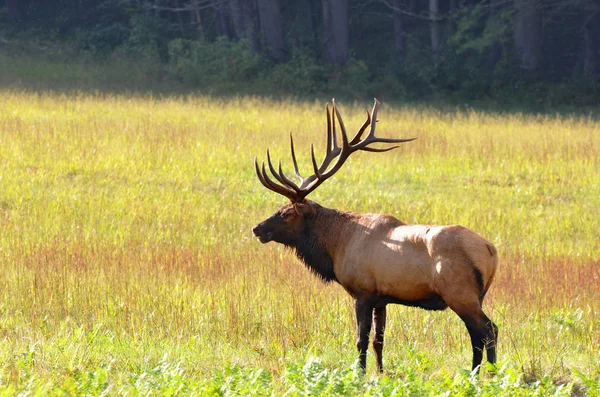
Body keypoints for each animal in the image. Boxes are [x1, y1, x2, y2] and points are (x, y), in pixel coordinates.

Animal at [251, 98, 500, 372]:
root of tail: (491, 250)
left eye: (286, 213)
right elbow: (378, 341)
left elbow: (361, 340)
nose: (257, 228)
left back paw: (490, 374)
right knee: (477, 335)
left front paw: (359, 374)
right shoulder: (382, 299)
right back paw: (476, 374)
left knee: (489, 330)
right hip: (476, 296)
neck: (336, 245)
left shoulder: (363, 292)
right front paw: (381, 373)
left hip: (460, 292)